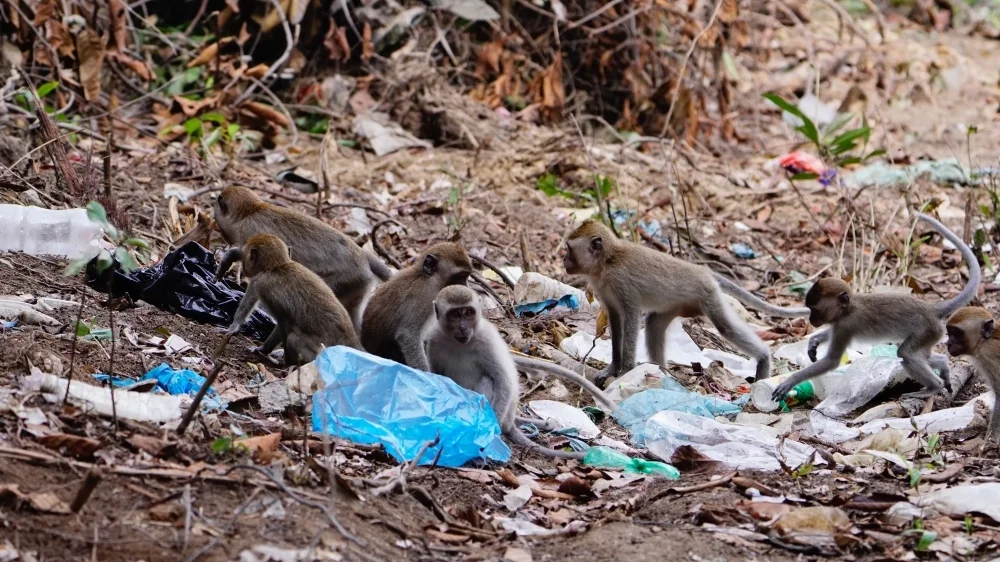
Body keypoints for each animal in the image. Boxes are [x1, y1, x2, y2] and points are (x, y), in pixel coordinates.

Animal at [212, 186, 392, 339]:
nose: (221, 233)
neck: (252, 211)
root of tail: (362, 255)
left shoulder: (249, 231)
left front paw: (236, 324)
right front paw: (228, 258)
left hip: (347, 279)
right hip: (358, 285)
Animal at [423, 286, 616, 459]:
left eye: (468, 313)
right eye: (455, 315)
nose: (463, 327)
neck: (459, 343)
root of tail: (509, 421)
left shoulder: (486, 339)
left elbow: (504, 381)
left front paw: (490, 432)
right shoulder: (433, 339)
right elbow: (436, 375)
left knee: (488, 381)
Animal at [562, 219, 802, 388]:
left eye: (569, 249)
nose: (563, 260)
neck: (606, 262)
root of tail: (703, 271)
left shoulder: (621, 283)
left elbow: (630, 316)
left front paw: (625, 371)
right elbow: (615, 318)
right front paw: (613, 368)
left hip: (708, 295)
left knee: (726, 328)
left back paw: (763, 360)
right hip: (676, 304)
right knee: (654, 324)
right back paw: (662, 373)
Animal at [770, 212, 981, 403]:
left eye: (815, 309)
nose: (811, 320)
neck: (849, 308)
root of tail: (931, 308)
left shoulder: (845, 325)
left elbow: (831, 361)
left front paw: (791, 381)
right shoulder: (839, 323)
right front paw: (814, 340)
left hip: (927, 330)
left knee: (906, 355)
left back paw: (934, 387)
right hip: (932, 334)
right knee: (921, 355)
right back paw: (943, 367)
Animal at [945, 307, 1000, 443]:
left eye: (956, 333)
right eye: (949, 332)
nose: (947, 343)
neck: (985, 341)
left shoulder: (988, 356)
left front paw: (990, 439)